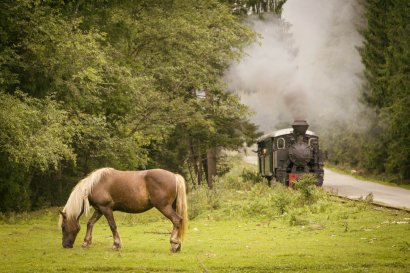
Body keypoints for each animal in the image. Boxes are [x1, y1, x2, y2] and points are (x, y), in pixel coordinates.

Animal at [58, 167, 188, 252]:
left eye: (63, 227)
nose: (65, 245)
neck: (95, 184)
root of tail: (175, 176)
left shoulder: (106, 209)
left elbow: (112, 226)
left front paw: (116, 245)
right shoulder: (99, 209)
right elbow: (90, 223)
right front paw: (86, 242)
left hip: (164, 207)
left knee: (176, 220)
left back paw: (174, 244)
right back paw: (177, 245)